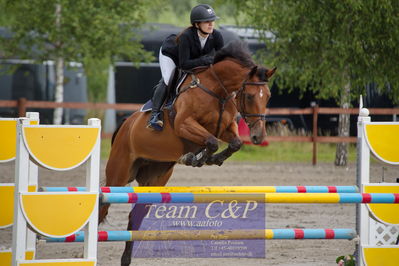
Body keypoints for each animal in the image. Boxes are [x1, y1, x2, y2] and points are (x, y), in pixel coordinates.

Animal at [99, 40, 276, 266]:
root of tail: (125, 125)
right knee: (103, 207)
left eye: (268, 97)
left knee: (135, 217)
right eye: (251, 96)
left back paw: (126, 259)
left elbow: (233, 143)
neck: (217, 90)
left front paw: (209, 158)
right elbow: (210, 141)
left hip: (154, 179)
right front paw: (194, 157)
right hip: (119, 174)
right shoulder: (184, 124)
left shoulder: (225, 128)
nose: (258, 136)